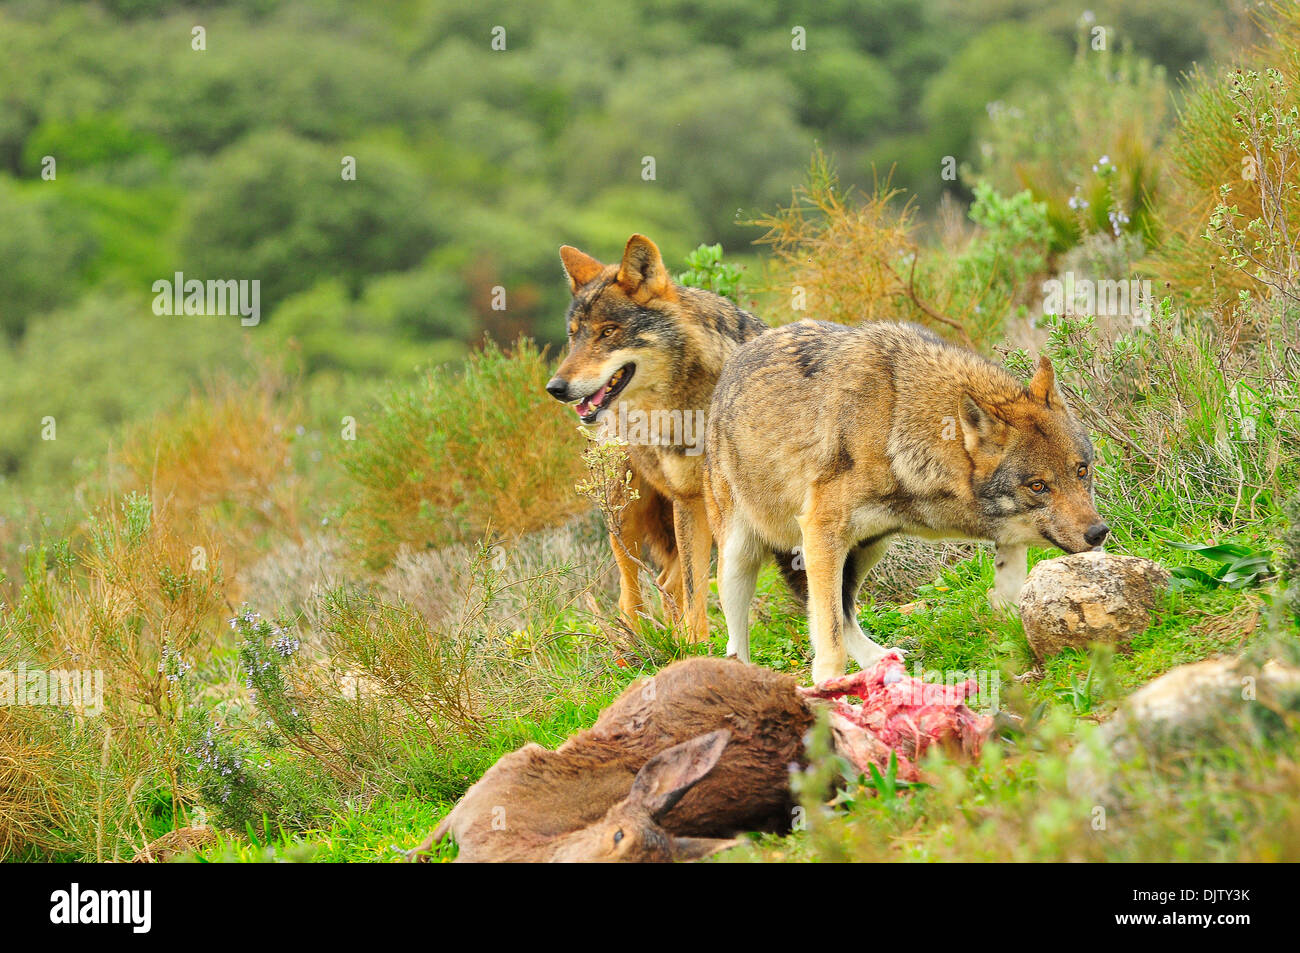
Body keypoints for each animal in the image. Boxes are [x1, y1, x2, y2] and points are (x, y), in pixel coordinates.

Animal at [546, 234, 768, 640]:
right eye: (573, 336)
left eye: (608, 331)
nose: (555, 388)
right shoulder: (691, 500)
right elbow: (698, 592)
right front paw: (700, 646)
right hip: (624, 516)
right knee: (631, 594)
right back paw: (635, 645)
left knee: (667, 582)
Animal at [704, 320, 1109, 683]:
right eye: (1038, 486)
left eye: (1082, 470)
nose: (1099, 533)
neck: (895, 423)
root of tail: (736, 361)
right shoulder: (820, 531)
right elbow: (828, 634)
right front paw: (828, 689)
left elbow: (1010, 580)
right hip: (739, 558)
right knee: (740, 637)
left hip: (870, 548)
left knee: (845, 611)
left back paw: (878, 661)